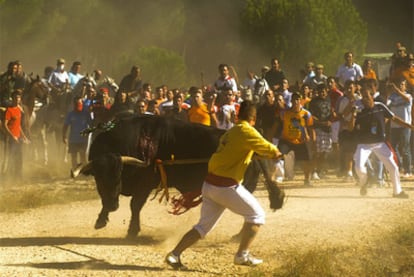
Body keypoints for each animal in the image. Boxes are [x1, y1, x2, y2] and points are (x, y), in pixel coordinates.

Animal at [72, 114, 284, 237]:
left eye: (118, 176)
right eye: (99, 179)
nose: (113, 206)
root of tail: (253, 151)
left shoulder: (145, 185)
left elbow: (135, 206)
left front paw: (133, 230)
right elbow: (108, 202)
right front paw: (101, 219)